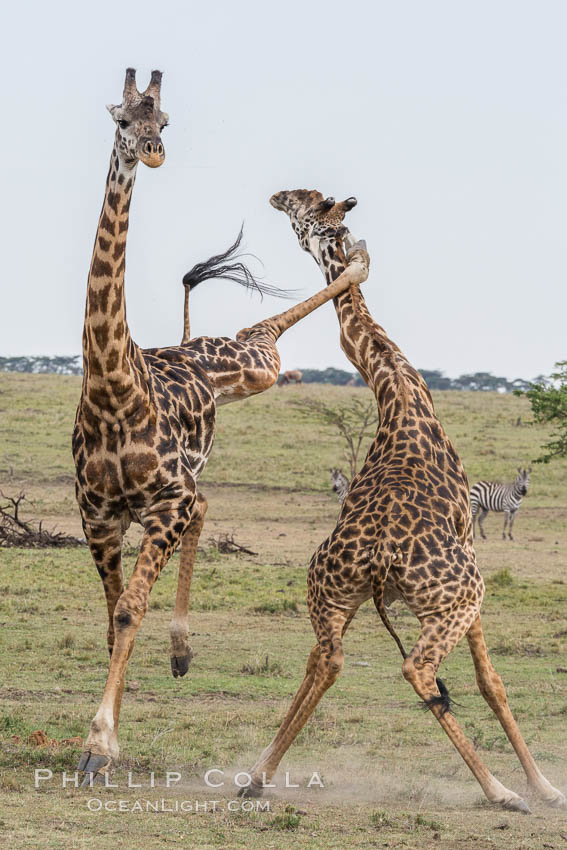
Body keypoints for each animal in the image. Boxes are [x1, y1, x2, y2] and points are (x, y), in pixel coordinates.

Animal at [73, 74, 370, 780]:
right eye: (122, 118)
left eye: (165, 121)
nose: (151, 152)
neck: (111, 390)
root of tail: (188, 347)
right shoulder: (97, 515)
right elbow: (113, 613)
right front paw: (107, 735)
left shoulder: (162, 501)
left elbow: (128, 611)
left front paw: (100, 744)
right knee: (206, 503)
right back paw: (180, 651)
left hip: (254, 370)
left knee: (261, 332)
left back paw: (346, 256)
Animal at [237, 189, 564, 812]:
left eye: (304, 206)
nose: (275, 196)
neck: (395, 384)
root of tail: (383, 553)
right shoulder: (470, 542)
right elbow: (491, 681)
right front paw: (544, 785)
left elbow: (314, 661)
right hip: (457, 596)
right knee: (418, 669)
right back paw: (501, 790)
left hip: (331, 589)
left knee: (327, 658)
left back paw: (259, 774)